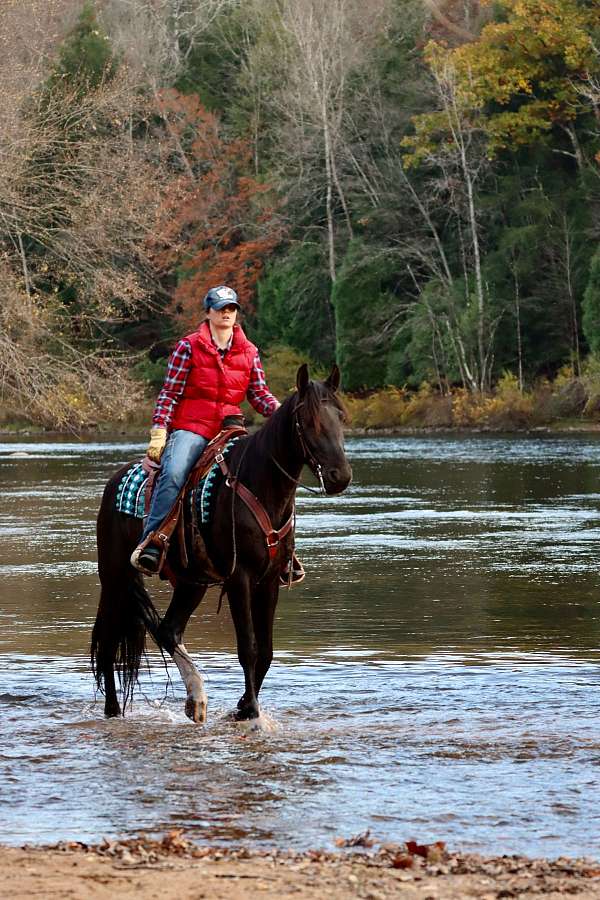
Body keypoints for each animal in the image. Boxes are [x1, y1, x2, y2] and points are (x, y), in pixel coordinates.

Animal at [90, 362, 352, 720]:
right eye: (309, 421)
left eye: (340, 416)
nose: (341, 477)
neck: (260, 485)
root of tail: (114, 481)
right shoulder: (239, 578)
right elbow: (248, 648)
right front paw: (251, 712)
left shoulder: (270, 580)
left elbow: (267, 650)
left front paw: (242, 706)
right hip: (115, 577)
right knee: (108, 644)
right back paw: (115, 710)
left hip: (191, 582)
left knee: (168, 630)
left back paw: (196, 698)